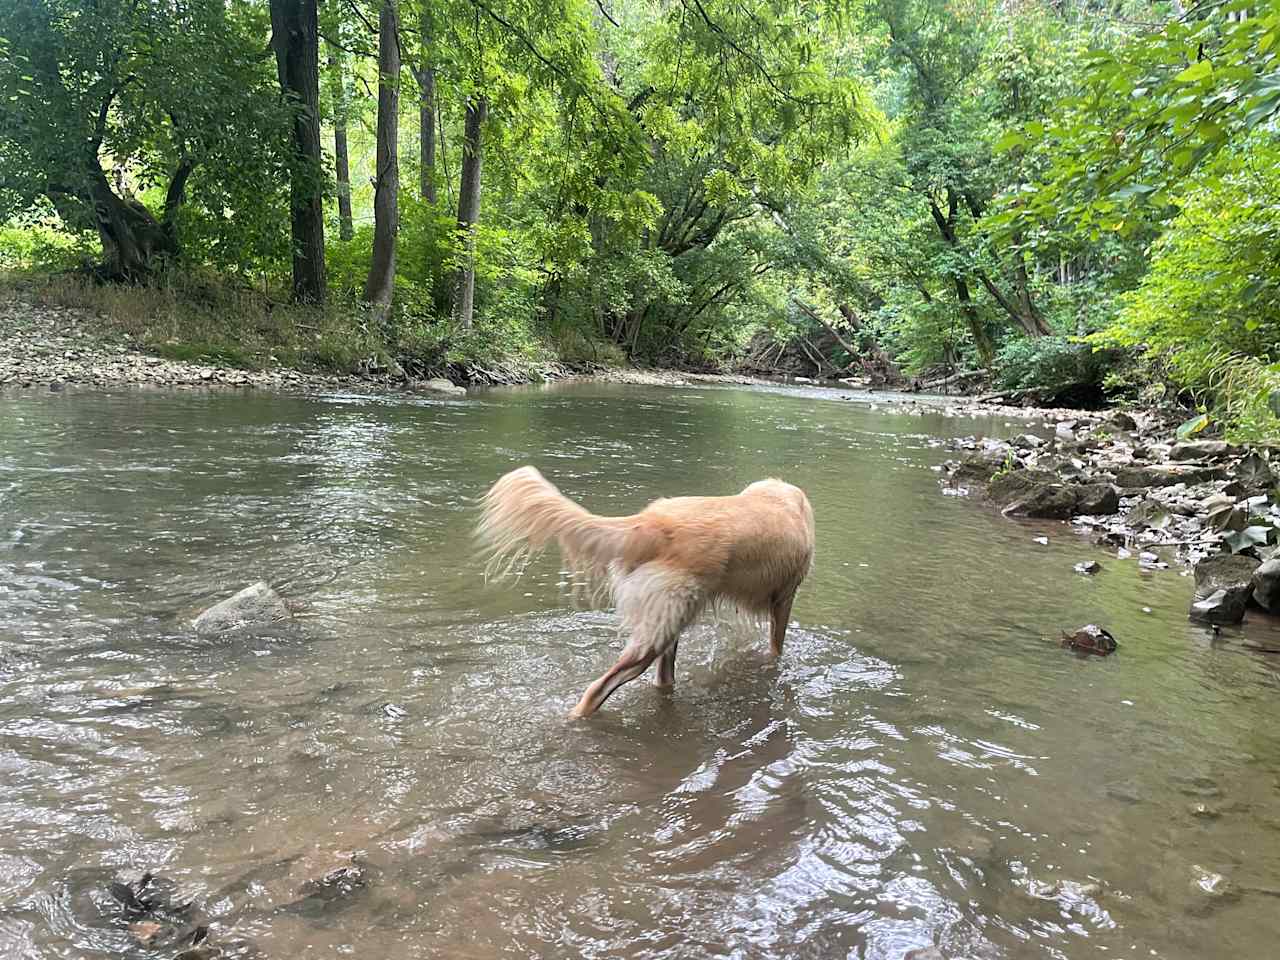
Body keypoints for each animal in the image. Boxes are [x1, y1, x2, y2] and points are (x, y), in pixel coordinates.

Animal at [476, 471, 814, 716]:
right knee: (596, 690)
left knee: (663, 678)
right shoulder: (785, 598)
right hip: (656, 633)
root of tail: (654, 522)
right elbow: (776, 647)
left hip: (668, 621)